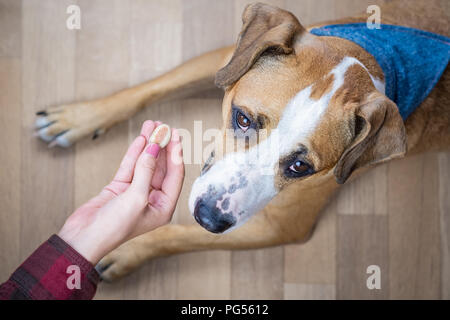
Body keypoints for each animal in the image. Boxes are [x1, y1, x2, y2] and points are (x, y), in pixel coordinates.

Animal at [33, 0, 448, 280]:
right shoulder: (226, 60)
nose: (211, 217)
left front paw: (125, 248)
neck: (376, 63)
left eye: (301, 166)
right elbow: (153, 86)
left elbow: (179, 235)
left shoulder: (279, 226)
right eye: (242, 118)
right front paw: (80, 117)